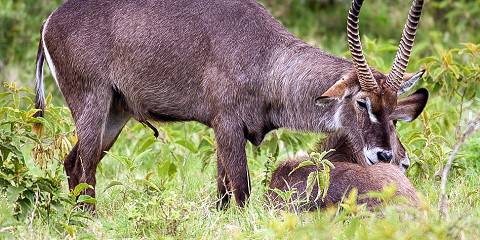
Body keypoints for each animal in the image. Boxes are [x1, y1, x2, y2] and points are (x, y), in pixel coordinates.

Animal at [32, 0, 424, 208]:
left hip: (115, 114)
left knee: (72, 164)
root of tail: (50, 19)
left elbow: (222, 195)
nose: (386, 157)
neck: (267, 60)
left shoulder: (224, 131)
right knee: (85, 169)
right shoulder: (227, 125)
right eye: (362, 102)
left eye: (394, 111)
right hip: (92, 103)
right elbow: (241, 191)